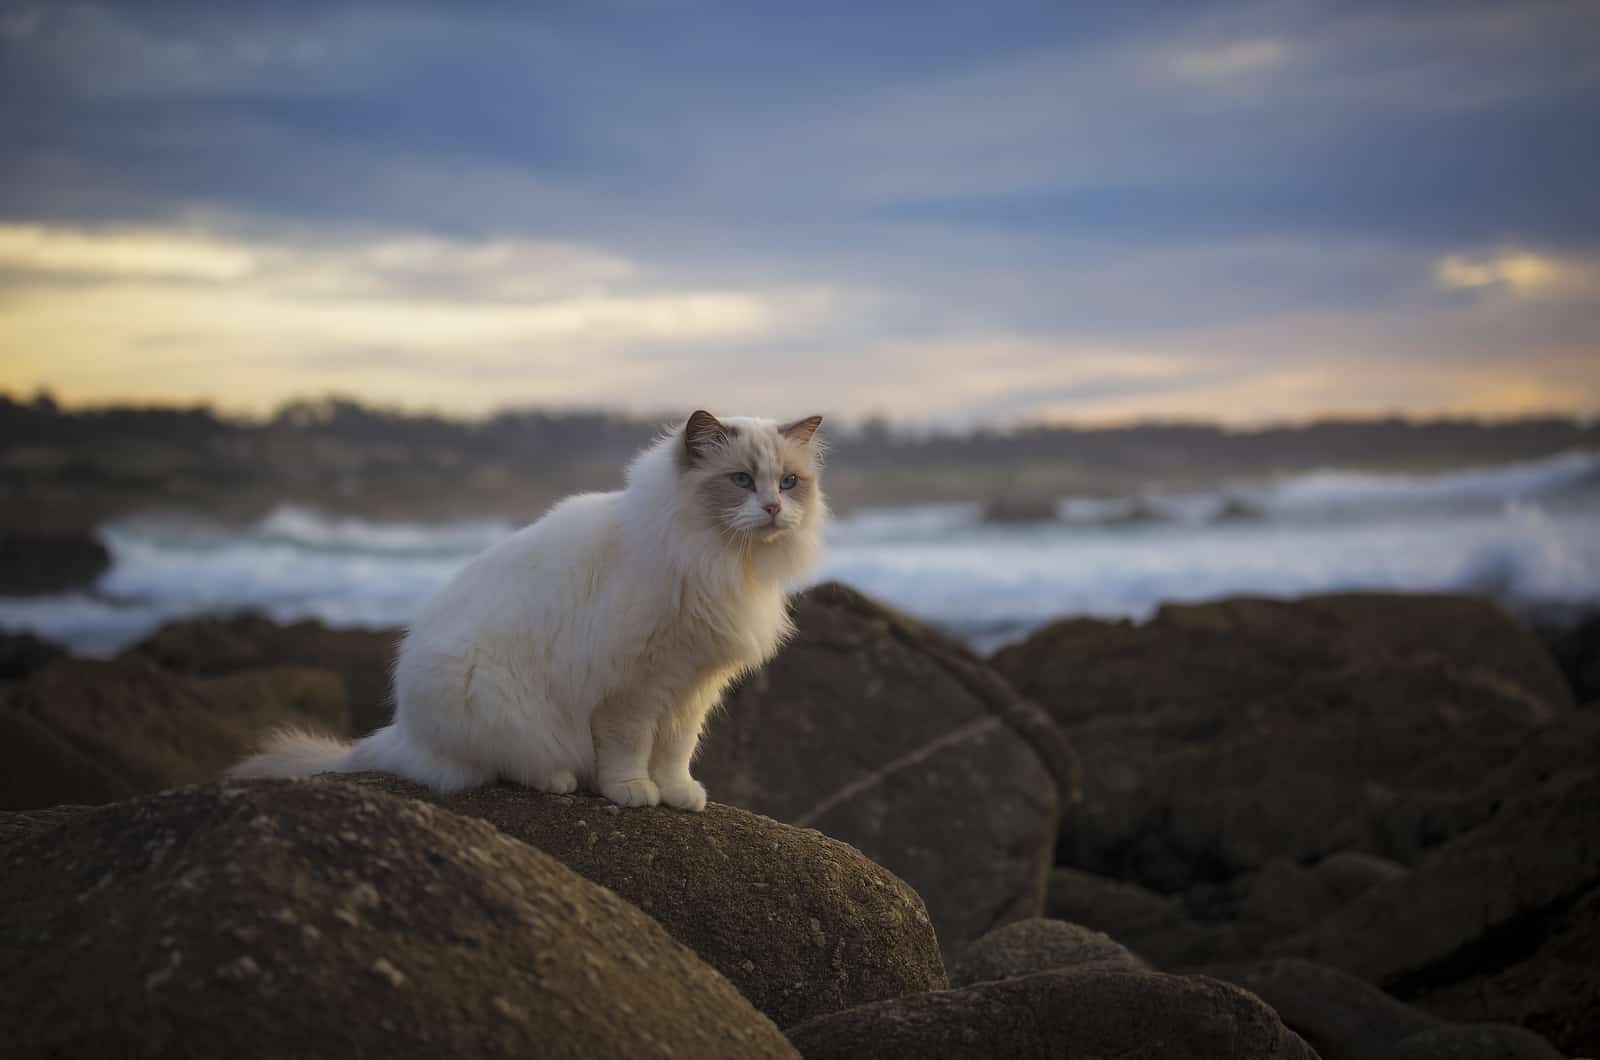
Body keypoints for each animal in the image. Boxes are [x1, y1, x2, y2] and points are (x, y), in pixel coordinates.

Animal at [232, 409, 832, 810]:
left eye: (789, 483)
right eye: (741, 481)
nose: (773, 508)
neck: (720, 562)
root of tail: (401, 731)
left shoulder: (691, 689)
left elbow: (676, 751)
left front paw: (680, 794)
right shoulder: (632, 690)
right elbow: (631, 748)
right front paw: (633, 792)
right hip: (496, 703)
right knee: (497, 768)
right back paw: (560, 780)